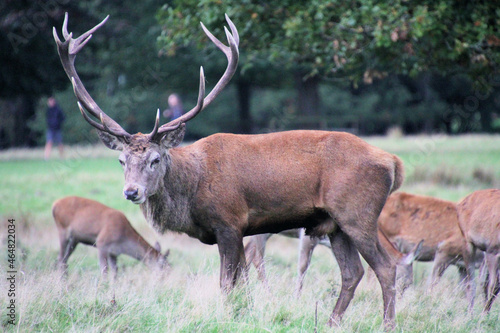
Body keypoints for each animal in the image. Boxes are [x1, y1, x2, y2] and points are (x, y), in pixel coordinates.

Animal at [54, 13, 404, 326]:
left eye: (155, 158)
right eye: (121, 160)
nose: (131, 191)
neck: (192, 191)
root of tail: (392, 162)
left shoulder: (229, 222)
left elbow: (227, 283)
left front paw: (226, 317)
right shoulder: (238, 229)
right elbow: (242, 282)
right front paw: (243, 314)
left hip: (357, 212)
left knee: (387, 266)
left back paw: (387, 323)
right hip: (334, 224)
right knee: (352, 272)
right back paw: (331, 322)